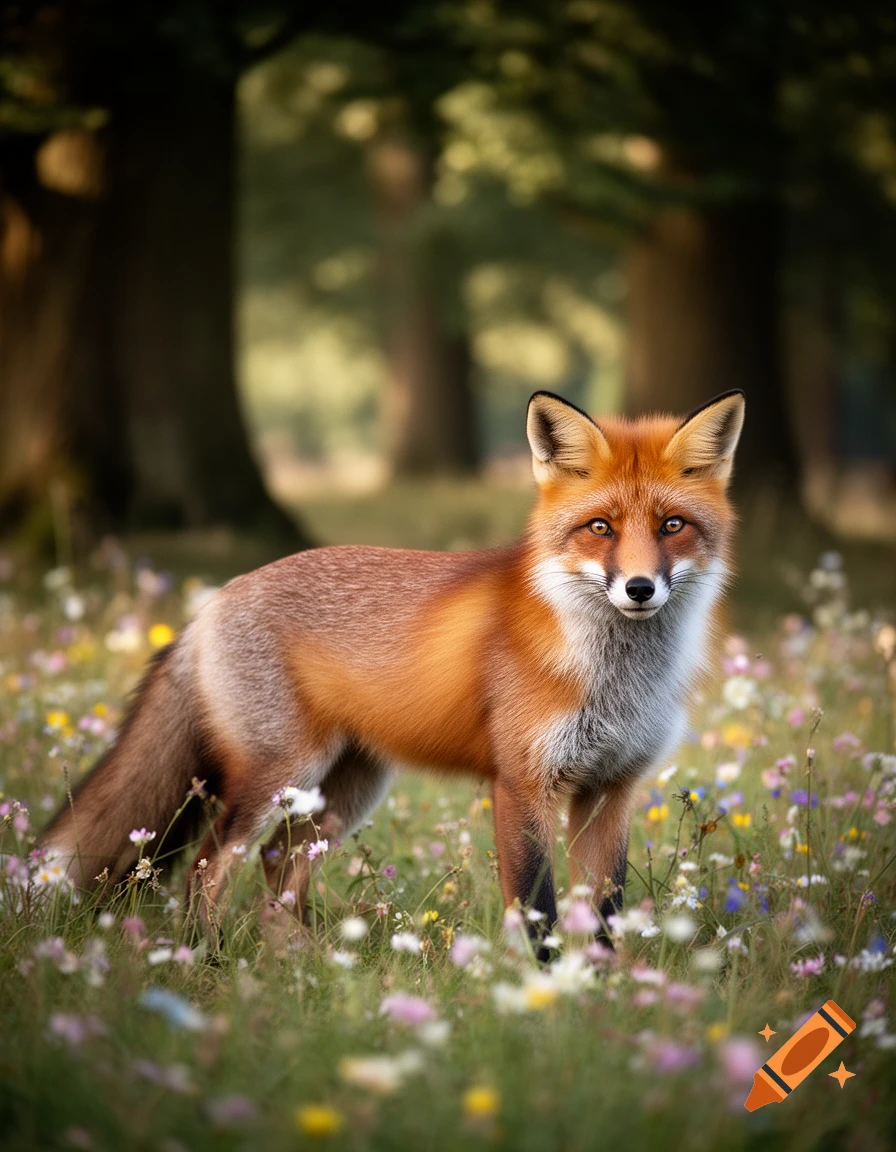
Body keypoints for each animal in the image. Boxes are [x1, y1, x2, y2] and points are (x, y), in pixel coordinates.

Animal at [39, 388, 744, 947]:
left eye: (672, 525)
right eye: (600, 527)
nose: (639, 588)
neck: (615, 680)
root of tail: (213, 600)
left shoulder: (612, 789)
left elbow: (605, 913)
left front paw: (600, 995)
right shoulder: (522, 784)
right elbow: (539, 910)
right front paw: (546, 995)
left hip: (345, 791)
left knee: (278, 866)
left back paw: (298, 963)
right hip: (281, 775)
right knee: (208, 869)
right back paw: (206, 962)